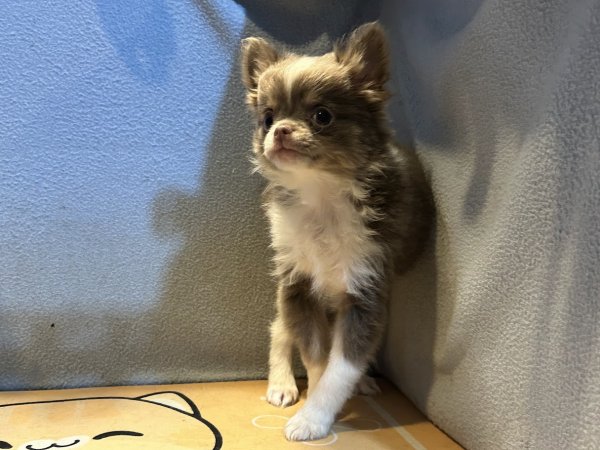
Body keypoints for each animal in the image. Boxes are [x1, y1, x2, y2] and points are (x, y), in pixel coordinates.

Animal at [240, 22, 433, 441]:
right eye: (267, 117)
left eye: (322, 115)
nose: (280, 130)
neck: (321, 194)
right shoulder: (298, 287)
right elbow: (317, 358)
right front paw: (312, 409)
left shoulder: (365, 294)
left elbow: (340, 366)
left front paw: (314, 417)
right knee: (279, 327)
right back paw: (281, 383)